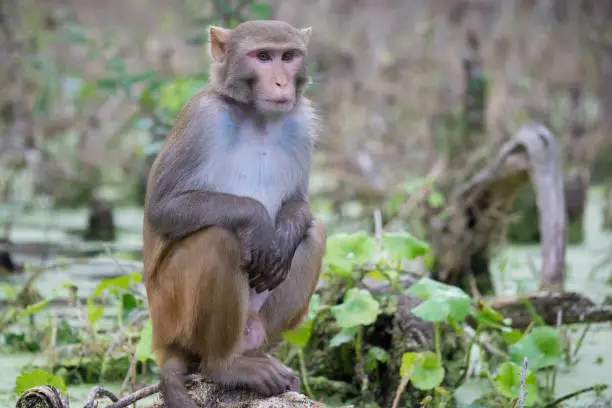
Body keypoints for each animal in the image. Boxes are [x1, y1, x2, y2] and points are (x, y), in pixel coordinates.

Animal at [143, 19, 328, 408]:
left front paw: (284, 234)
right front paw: (256, 219)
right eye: (263, 56)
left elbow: (300, 203)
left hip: (253, 320)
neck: (257, 116)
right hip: (170, 312)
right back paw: (225, 365)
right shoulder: (203, 119)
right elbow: (163, 208)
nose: (281, 82)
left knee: (316, 232)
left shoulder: (301, 120)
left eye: (288, 56)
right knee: (217, 239)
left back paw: (252, 352)